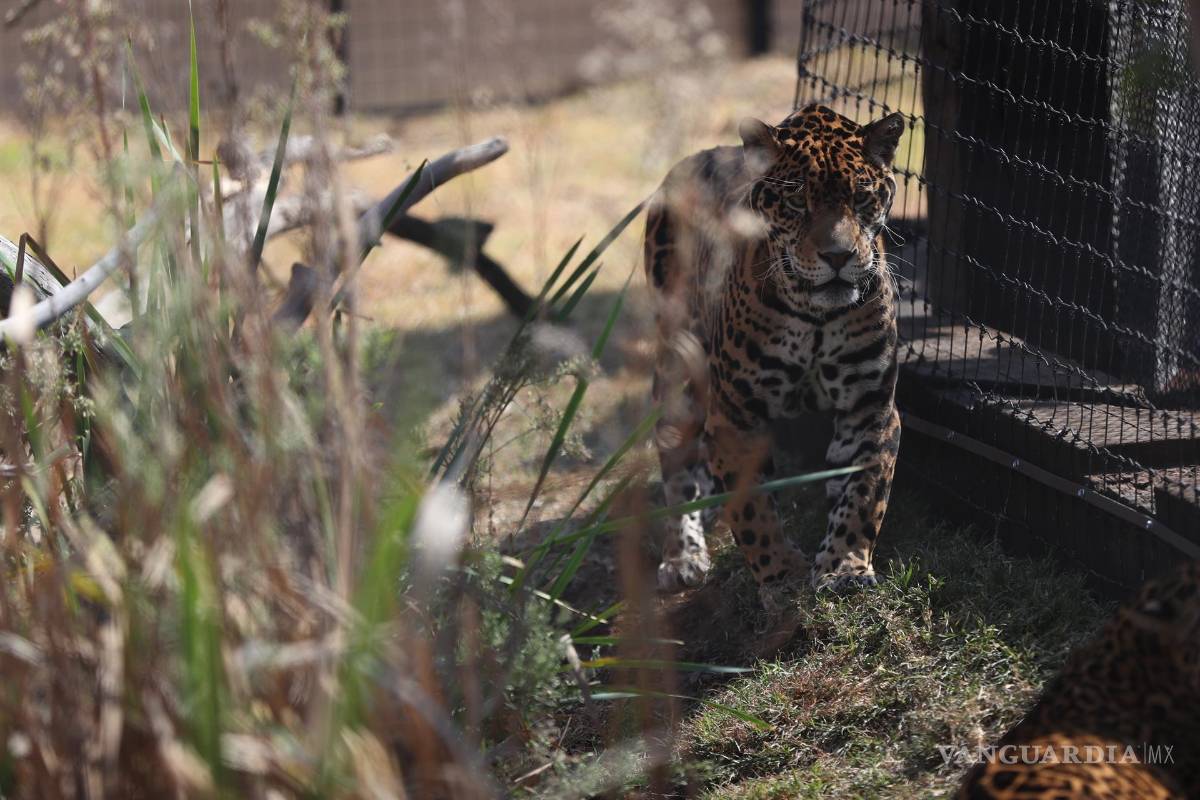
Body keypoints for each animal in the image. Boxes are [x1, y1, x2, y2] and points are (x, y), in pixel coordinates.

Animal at [643, 103, 905, 602]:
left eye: (861, 199)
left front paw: (843, 566)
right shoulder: (736, 415)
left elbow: (864, 493)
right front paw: (781, 574)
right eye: (796, 203)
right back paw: (681, 556)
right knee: (675, 460)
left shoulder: (870, 406)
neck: (815, 317)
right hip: (680, 367)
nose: (838, 257)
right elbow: (754, 510)